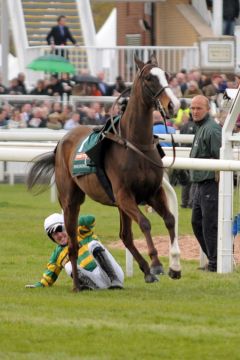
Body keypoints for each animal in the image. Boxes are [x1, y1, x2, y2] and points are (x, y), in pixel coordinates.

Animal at [27, 57, 181, 292]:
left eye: (166, 75)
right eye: (149, 78)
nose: (173, 105)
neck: (136, 144)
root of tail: (61, 142)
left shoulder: (153, 193)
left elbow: (170, 220)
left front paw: (174, 267)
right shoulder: (124, 194)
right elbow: (145, 223)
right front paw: (156, 263)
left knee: (125, 236)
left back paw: (144, 272)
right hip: (71, 200)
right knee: (72, 243)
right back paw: (77, 285)